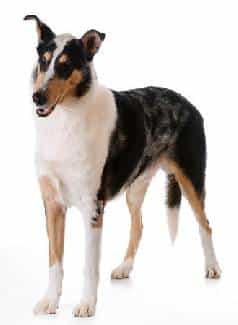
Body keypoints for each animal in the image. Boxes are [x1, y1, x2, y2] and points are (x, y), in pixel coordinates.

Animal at [24, 15, 221, 316]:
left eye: (66, 65)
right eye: (43, 61)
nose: (38, 97)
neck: (66, 120)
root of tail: (185, 100)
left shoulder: (92, 208)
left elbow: (89, 266)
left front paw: (86, 305)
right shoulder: (53, 204)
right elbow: (54, 260)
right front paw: (49, 302)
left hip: (191, 177)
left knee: (205, 223)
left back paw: (212, 268)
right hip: (135, 189)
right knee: (138, 225)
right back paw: (124, 268)